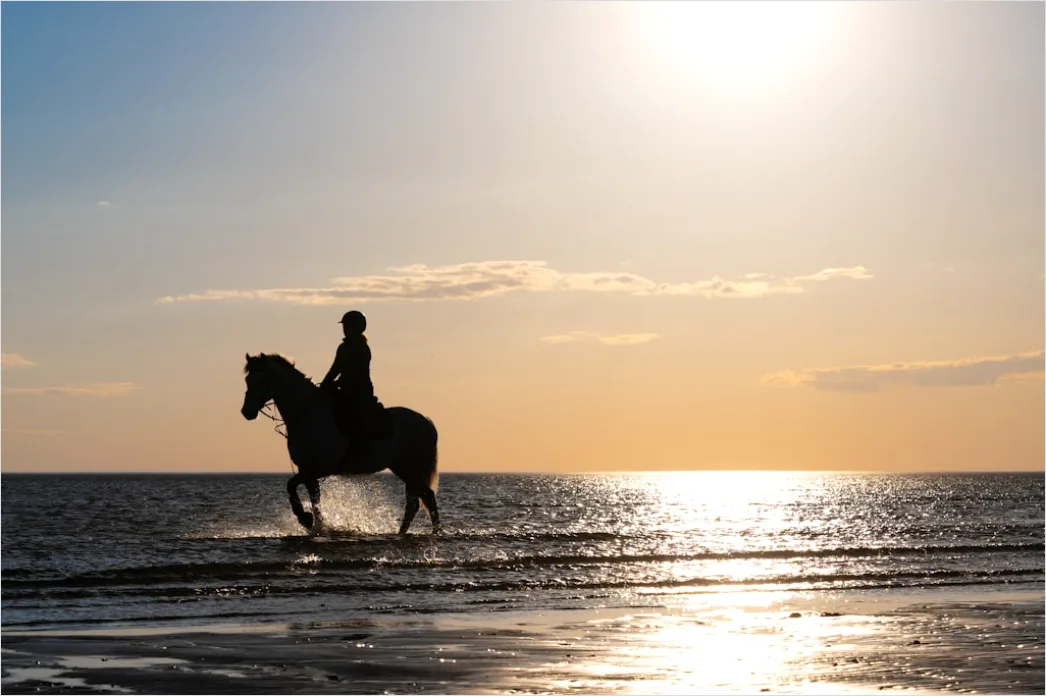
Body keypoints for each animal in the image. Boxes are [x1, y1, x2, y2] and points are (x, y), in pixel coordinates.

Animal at [240, 353, 441, 535]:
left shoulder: (316, 469)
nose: (246, 412)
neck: (306, 413)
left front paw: (307, 520)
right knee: (419, 501)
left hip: (412, 469)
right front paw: (314, 525)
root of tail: (427, 423)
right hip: (404, 469)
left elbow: (293, 486)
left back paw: (433, 532)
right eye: (248, 380)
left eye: (262, 380)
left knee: (424, 499)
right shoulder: (307, 470)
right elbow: (312, 498)